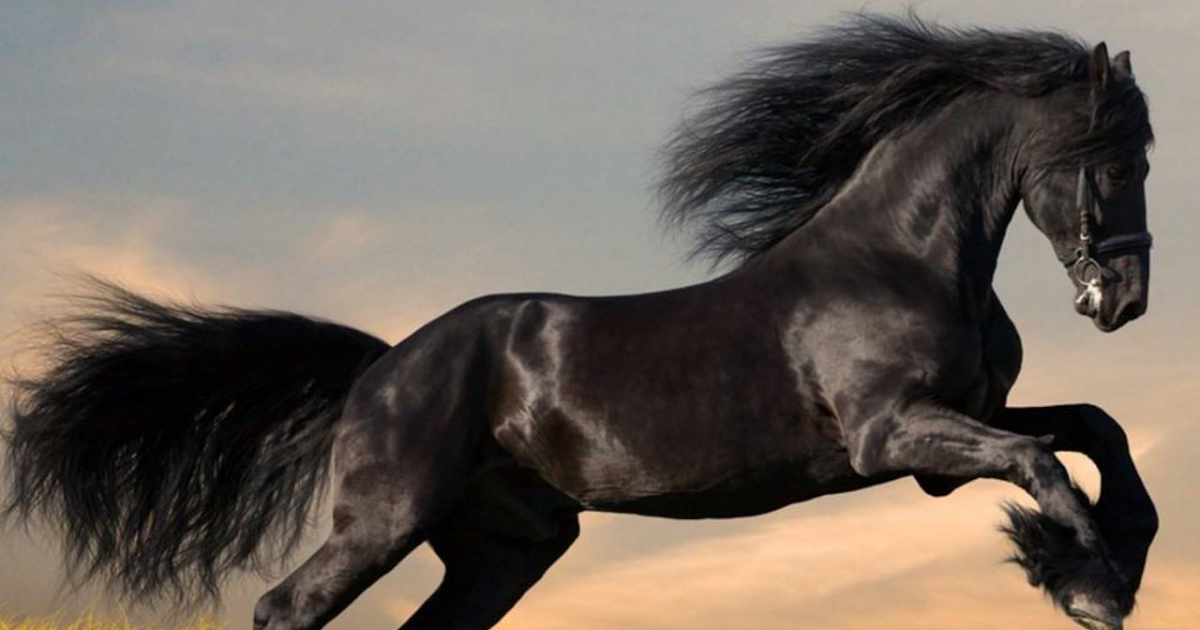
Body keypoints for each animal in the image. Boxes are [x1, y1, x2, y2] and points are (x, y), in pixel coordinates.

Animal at [2, 15, 1158, 630]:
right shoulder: (894, 438)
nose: (1124, 301)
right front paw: (1088, 586)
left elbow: (1097, 432)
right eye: (1112, 162)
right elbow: (1048, 467)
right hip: (385, 519)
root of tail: (381, 366)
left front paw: (1107, 563)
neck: (899, 259)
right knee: (287, 608)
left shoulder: (956, 431)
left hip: (509, 545)